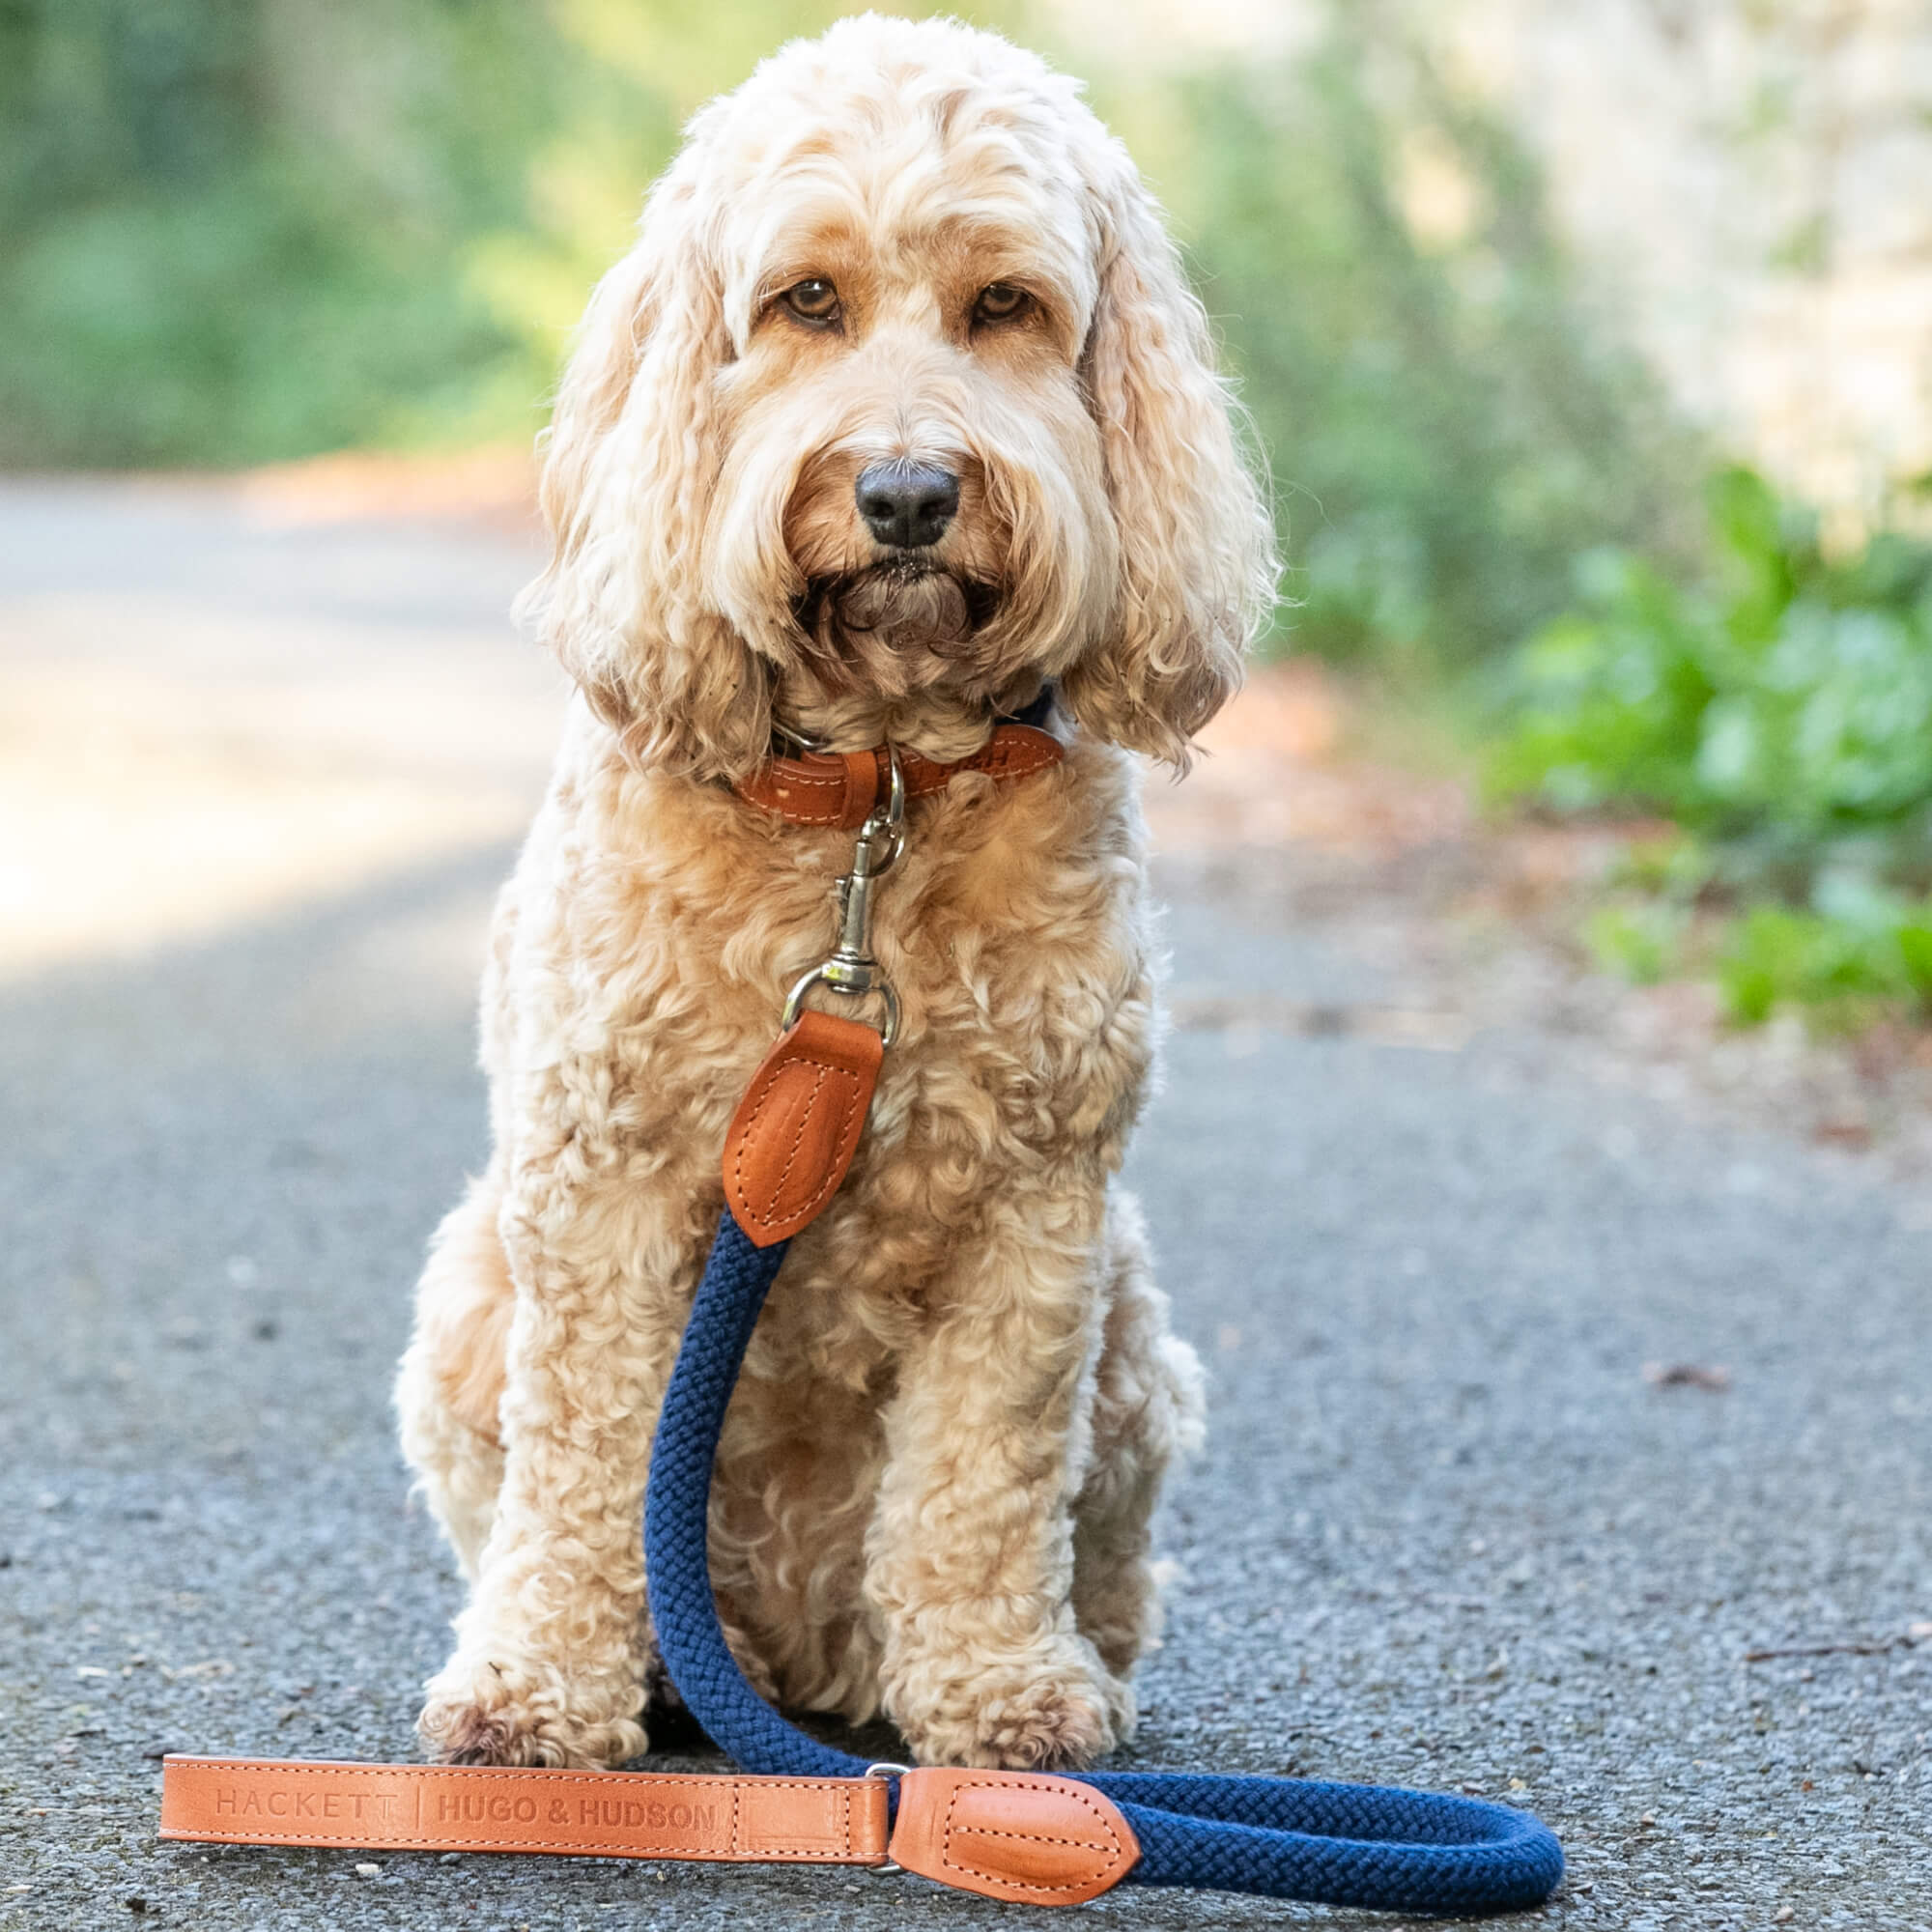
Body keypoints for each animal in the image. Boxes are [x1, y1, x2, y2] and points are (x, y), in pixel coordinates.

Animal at [392, 11, 1275, 1770]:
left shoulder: (1038, 1212)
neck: (873, 800)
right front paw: (533, 1692)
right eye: (807, 302)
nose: (909, 493)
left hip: (1134, 1333)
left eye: (1005, 307)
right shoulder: (599, 1191)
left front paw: (1001, 1693)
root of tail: (786, 1653)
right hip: (469, 1291)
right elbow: (585, 1464)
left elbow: (988, 1470)